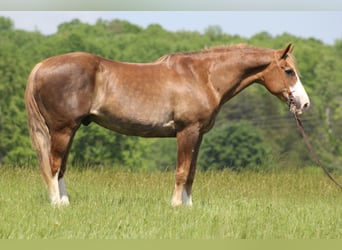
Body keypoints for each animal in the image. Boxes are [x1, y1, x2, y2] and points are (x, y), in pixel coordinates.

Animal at [25, 43, 310, 207]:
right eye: (288, 71)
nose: (304, 103)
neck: (202, 76)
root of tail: (40, 66)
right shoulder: (186, 131)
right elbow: (181, 171)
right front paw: (175, 207)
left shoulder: (198, 135)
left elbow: (191, 172)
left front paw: (188, 207)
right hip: (62, 130)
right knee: (53, 166)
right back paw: (56, 205)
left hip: (68, 131)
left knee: (60, 168)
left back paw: (65, 203)